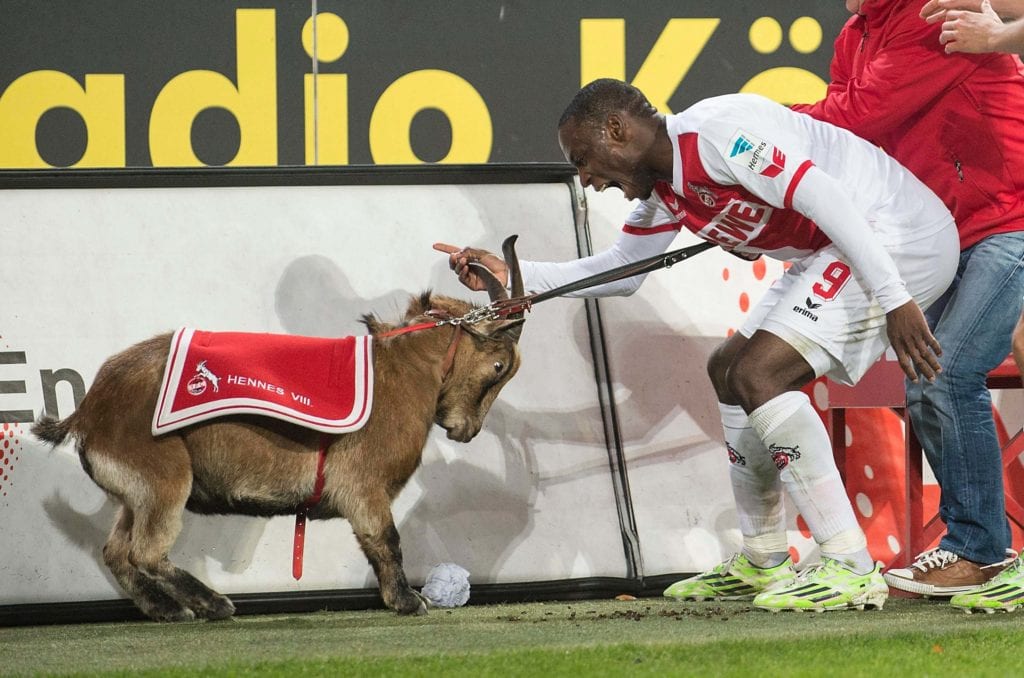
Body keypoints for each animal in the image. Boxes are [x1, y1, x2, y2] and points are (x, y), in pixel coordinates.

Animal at [32, 235, 528, 622]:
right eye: (498, 366)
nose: (467, 431)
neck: (398, 370)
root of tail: (91, 408)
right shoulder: (364, 487)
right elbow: (385, 540)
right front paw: (407, 601)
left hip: (134, 494)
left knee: (118, 552)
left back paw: (169, 609)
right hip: (162, 482)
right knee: (146, 552)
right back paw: (213, 604)